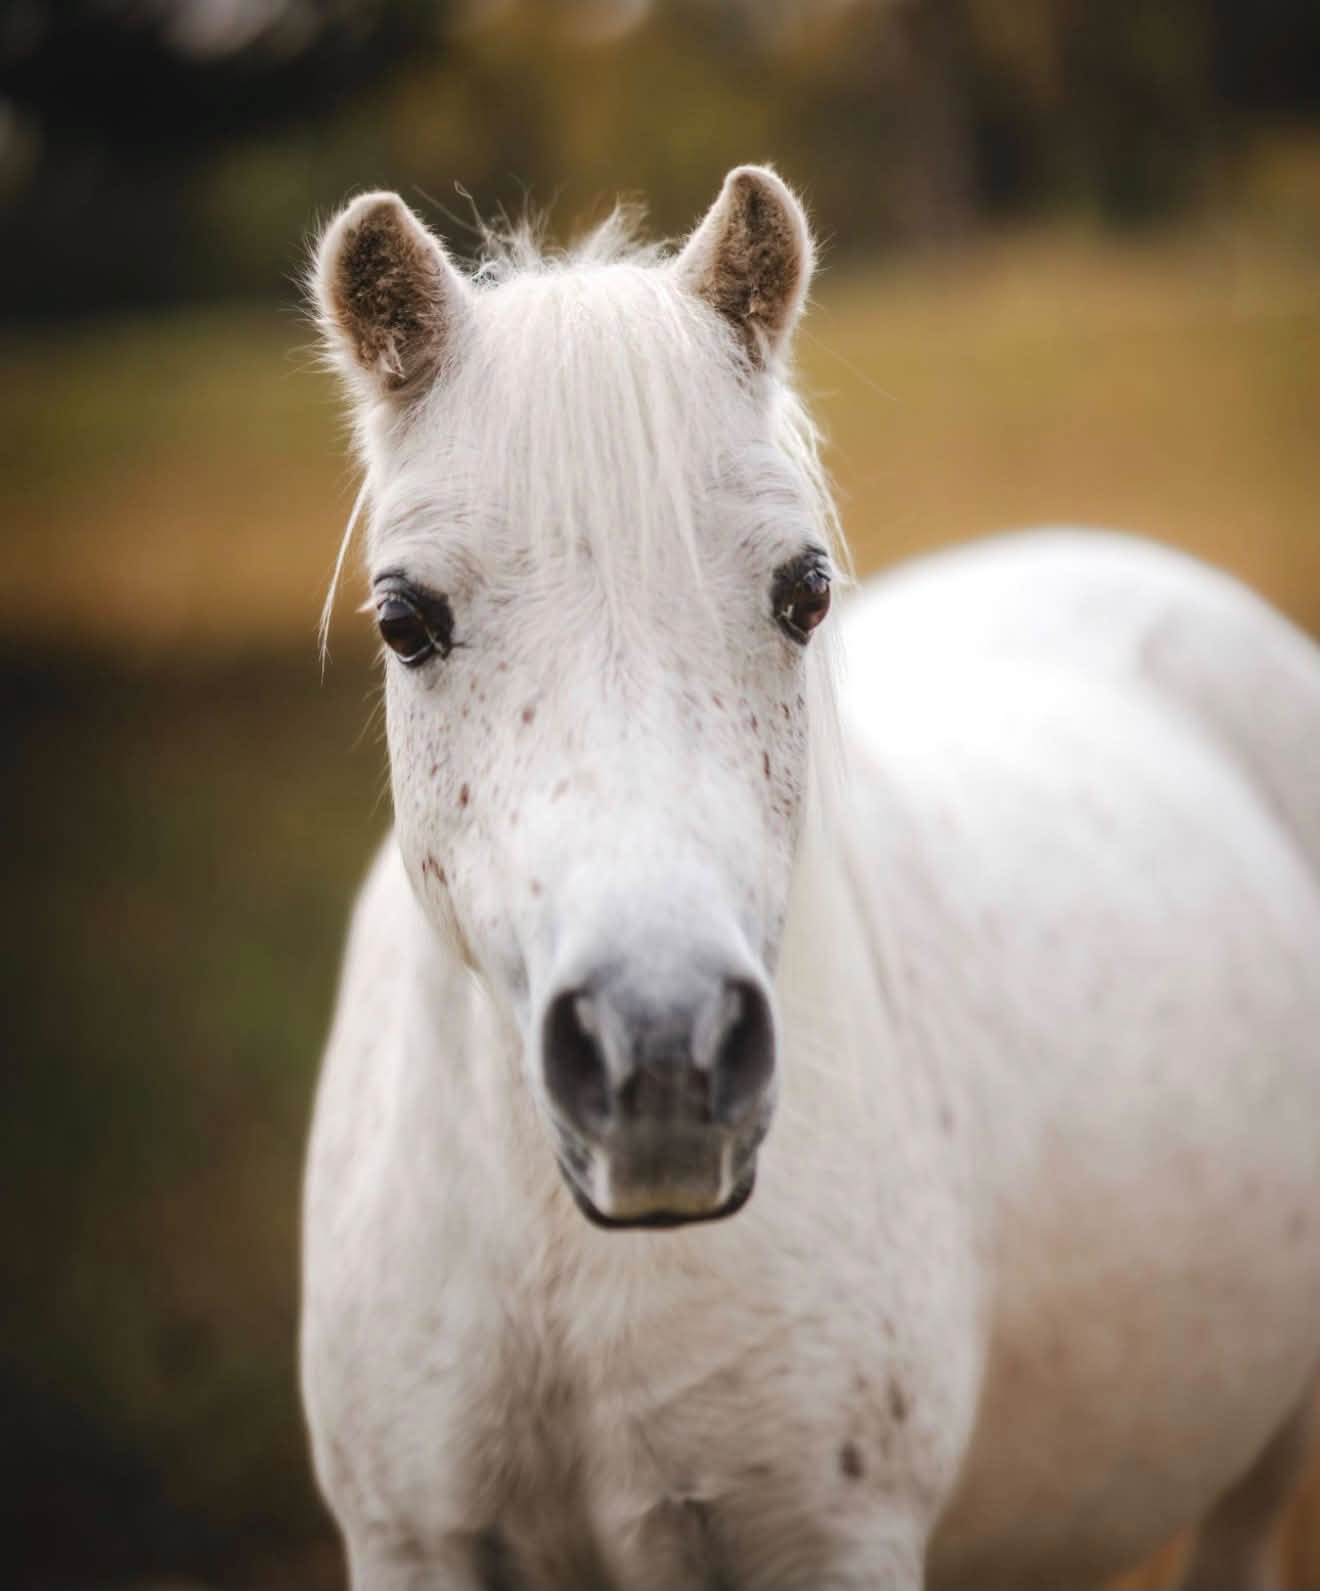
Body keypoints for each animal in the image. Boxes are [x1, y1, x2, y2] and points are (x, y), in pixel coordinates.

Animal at [300, 166, 1320, 1590]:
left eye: (804, 592)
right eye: (405, 619)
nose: (660, 1054)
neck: (567, 1271)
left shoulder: (834, 1542)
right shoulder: (411, 1541)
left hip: (1263, 1453)